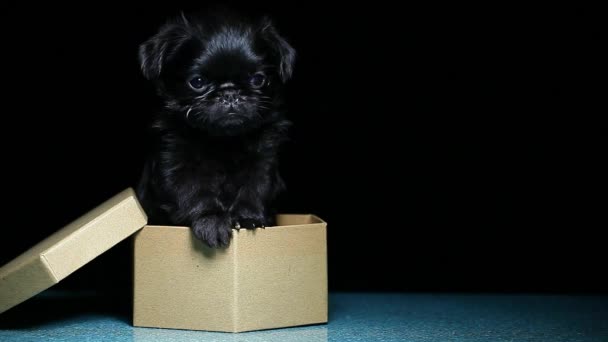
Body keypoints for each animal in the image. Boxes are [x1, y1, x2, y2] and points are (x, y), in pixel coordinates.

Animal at [135, 9, 294, 247]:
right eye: (197, 82)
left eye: (258, 79)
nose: (230, 93)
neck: (223, 140)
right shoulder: (176, 162)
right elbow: (195, 192)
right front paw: (211, 221)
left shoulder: (263, 161)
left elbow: (254, 188)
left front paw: (247, 217)